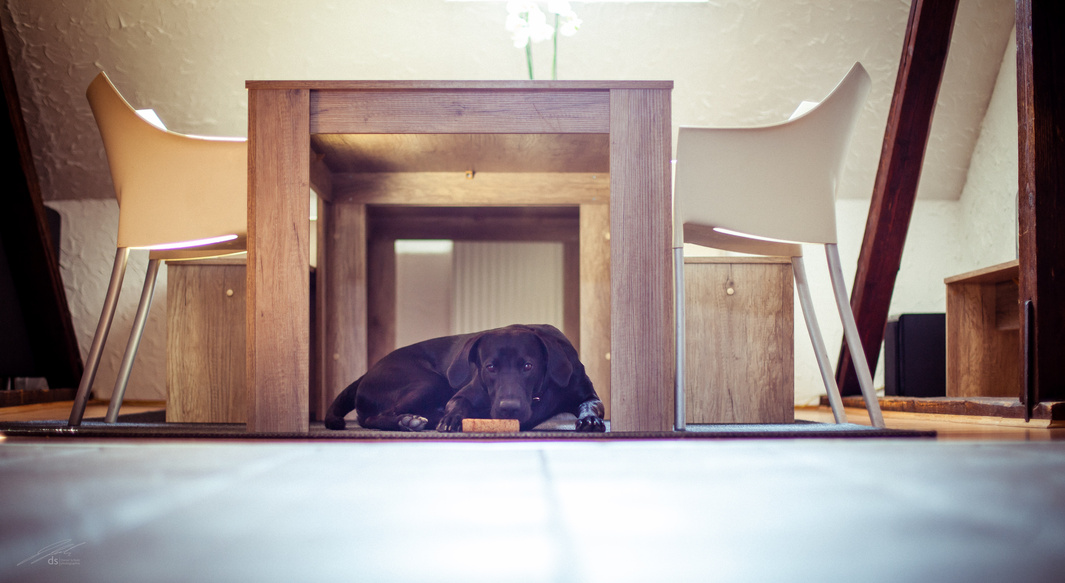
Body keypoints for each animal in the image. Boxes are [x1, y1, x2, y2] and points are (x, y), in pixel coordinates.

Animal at [323, 324, 604, 432]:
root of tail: (366, 373)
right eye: (490, 367)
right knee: (373, 418)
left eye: (528, 366)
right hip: (430, 382)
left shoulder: (585, 391)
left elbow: (591, 404)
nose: (508, 408)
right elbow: (458, 404)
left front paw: (590, 419)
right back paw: (408, 421)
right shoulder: (465, 392)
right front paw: (452, 419)